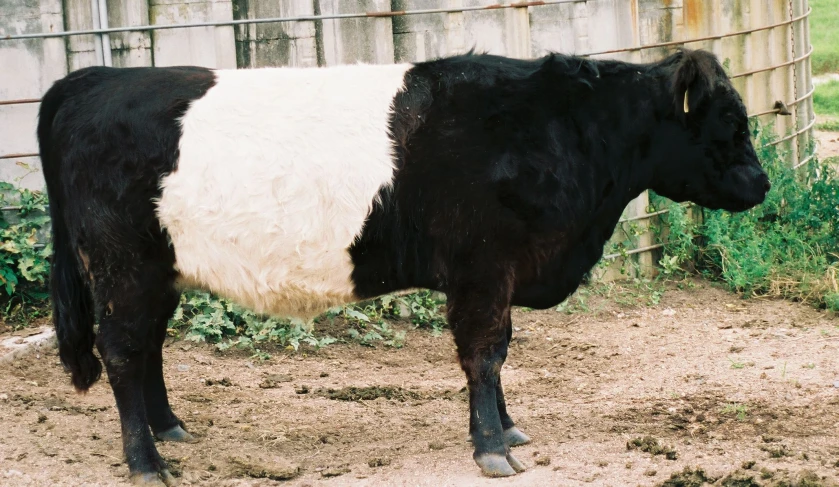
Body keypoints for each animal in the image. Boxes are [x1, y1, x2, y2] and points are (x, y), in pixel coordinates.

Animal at [37, 48, 768, 484]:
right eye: (730, 124)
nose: (761, 184)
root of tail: (96, 77)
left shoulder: (497, 274)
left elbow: (498, 351)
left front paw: (507, 428)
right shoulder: (483, 267)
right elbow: (484, 353)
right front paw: (491, 447)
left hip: (159, 271)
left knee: (150, 348)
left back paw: (170, 427)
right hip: (123, 266)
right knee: (123, 352)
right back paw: (146, 459)